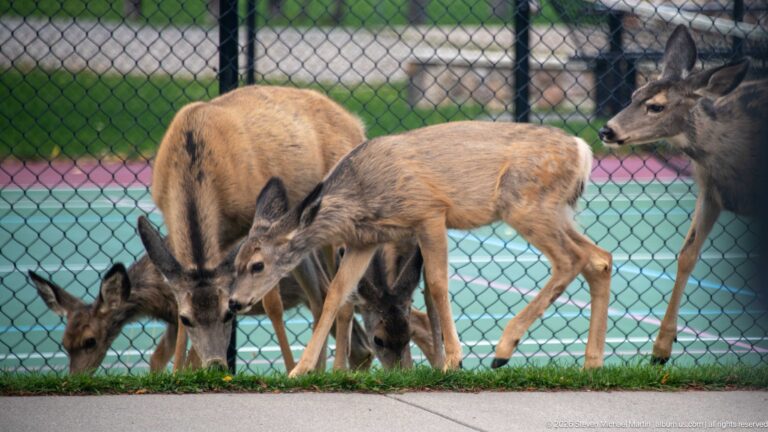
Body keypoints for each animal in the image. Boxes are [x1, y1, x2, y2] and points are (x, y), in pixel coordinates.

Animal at [134, 84, 375, 370]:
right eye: (186, 318)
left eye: (228, 314)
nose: (216, 364)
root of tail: (357, 125)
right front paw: (180, 371)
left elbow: (272, 304)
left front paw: (289, 367)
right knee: (320, 295)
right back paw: (319, 370)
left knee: (342, 294)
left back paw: (336, 368)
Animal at [229, 120, 613, 377]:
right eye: (236, 262)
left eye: (258, 265)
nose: (234, 302)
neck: (361, 198)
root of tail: (583, 149)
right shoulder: (366, 239)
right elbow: (337, 293)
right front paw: (301, 370)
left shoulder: (429, 212)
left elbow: (439, 285)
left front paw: (453, 361)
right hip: (553, 211)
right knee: (600, 258)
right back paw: (591, 363)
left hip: (524, 204)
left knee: (572, 259)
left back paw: (504, 350)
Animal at [598, 24, 768, 365]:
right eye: (634, 95)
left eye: (656, 106)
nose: (606, 130)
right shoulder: (710, 191)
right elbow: (687, 254)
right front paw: (661, 348)